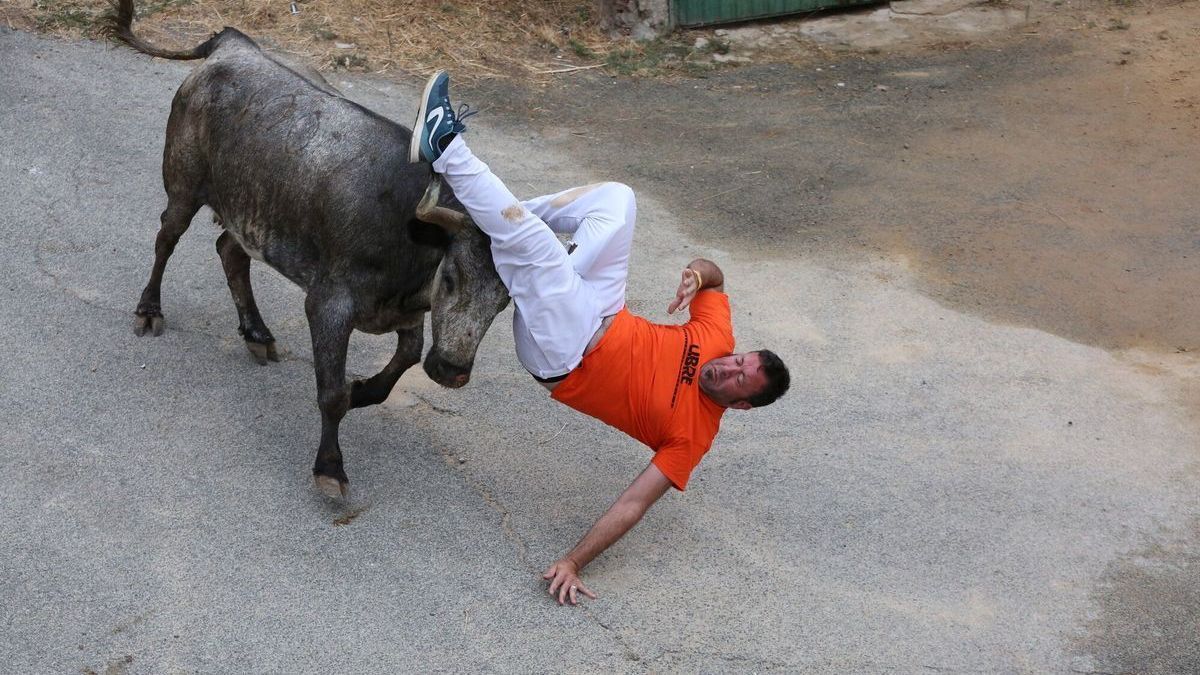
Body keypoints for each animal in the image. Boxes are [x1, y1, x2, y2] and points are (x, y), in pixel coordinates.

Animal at [104, 0, 511, 494]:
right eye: (450, 278)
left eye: (505, 303)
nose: (452, 372)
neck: (409, 231)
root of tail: (233, 45)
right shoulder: (327, 305)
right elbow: (331, 394)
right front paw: (330, 467)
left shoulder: (404, 313)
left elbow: (402, 362)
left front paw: (363, 391)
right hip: (182, 186)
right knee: (166, 238)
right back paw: (150, 309)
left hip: (250, 213)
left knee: (230, 252)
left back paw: (257, 334)